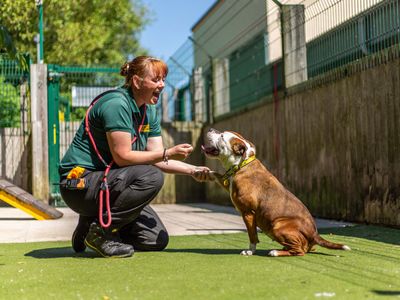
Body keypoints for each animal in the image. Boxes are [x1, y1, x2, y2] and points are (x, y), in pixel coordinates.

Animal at [202, 127, 348, 256]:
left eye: (222, 136)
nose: (210, 129)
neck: (242, 164)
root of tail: (315, 234)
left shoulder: (248, 213)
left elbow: (252, 236)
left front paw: (250, 251)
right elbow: (216, 175)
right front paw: (204, 173)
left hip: (277, 225)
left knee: (299, 251)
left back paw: (276, 252)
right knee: (305, 248)